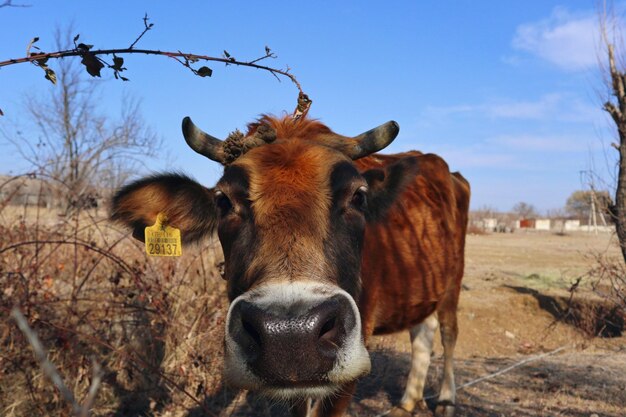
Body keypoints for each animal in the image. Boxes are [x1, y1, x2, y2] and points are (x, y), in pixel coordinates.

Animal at [109, 115, 468, 416]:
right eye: (223, 201)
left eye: (358, 196)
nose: (291, 335)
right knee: (422, 332)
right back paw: (409, 400)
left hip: (454, 280)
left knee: (449, 333)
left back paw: (446, 400)